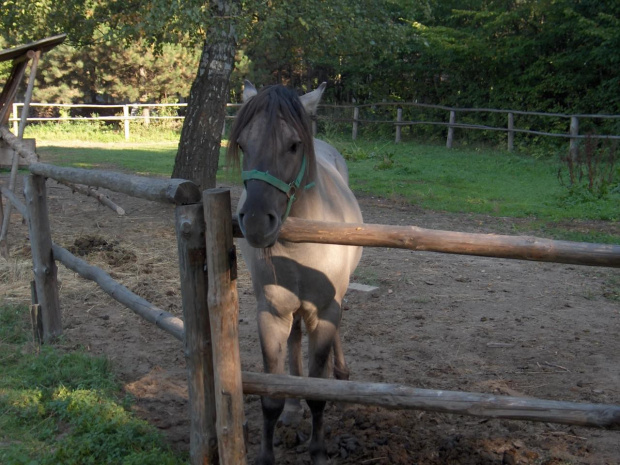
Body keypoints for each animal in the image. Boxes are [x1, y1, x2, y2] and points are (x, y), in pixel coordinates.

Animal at [228, 81, 364, 462]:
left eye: (293, 144)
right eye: (242, 144)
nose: (256, 221)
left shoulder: (326, 310)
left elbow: (317, 395)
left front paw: (318, 452)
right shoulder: (272, 314)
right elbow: (271, 397)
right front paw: (266, 454)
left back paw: (341, 372)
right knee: (294, 341)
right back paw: (293, 408)